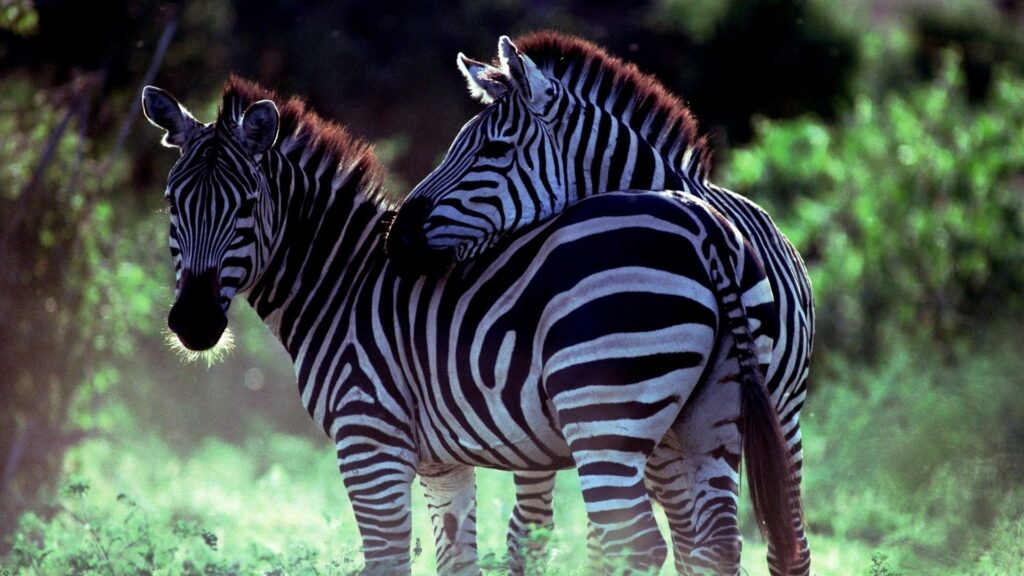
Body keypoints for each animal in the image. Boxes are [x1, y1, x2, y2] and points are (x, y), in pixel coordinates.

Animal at [142, 77, 799, 575]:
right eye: (173, 202)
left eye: (247, 205)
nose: (194, 322)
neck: (342, 283)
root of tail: (702, 222)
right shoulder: (441, 463)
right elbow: (457, 558)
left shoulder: (369, 441)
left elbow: (386, 561)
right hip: (712, 417)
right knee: (717, 543)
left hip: (604, 413)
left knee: (633, 541)